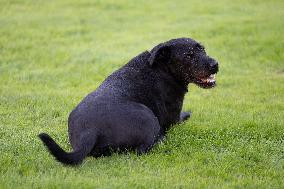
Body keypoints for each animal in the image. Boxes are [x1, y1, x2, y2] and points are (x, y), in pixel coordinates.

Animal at [38, 38, 220, 165]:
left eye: (202, 49)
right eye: (188, 55)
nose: (215, 64)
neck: (161, 68)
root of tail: (90, 131)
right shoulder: (173, 118)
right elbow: (181, 118)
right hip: (149, 119)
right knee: (143, 149)